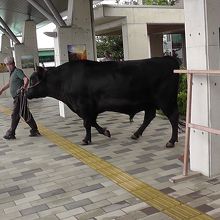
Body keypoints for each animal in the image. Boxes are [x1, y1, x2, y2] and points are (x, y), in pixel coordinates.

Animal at [26, 55, 180, 147]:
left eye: (33, 80)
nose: (25, 92)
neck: (65, 79)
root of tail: (168, 58)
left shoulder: (84, 106)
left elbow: (87, 123)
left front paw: (86, 140)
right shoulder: (90, 109)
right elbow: (92, 122)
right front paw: (105, 132)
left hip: (166, 100)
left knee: (173, 117)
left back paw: (171, 141)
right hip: (150, 102)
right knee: (149, 116)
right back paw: (136, 134)